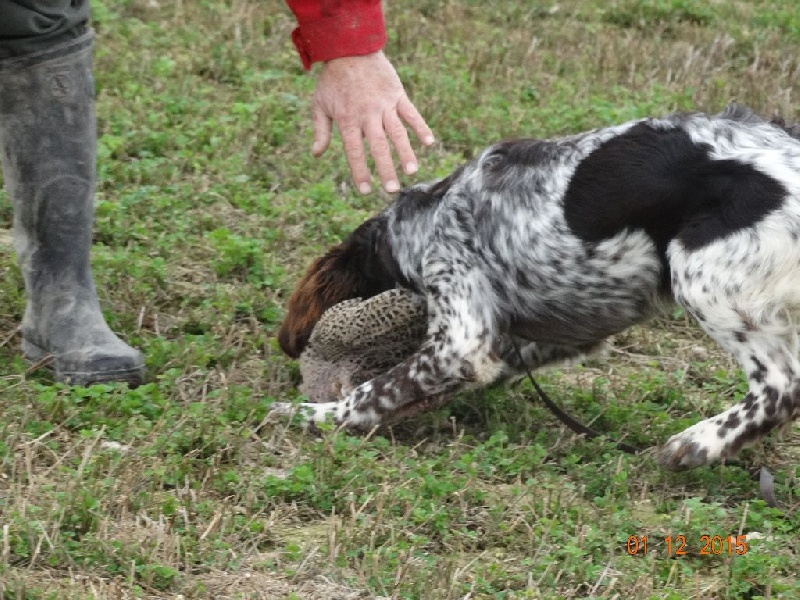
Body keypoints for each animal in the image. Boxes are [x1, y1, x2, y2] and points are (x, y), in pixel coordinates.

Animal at [276, 106, 800, 474]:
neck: (430, 214)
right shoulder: (567, 333)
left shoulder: (458, 338)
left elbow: (374, 390)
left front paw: (310, 413)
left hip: (700, 275)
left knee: (781, 386)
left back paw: (696, 444)